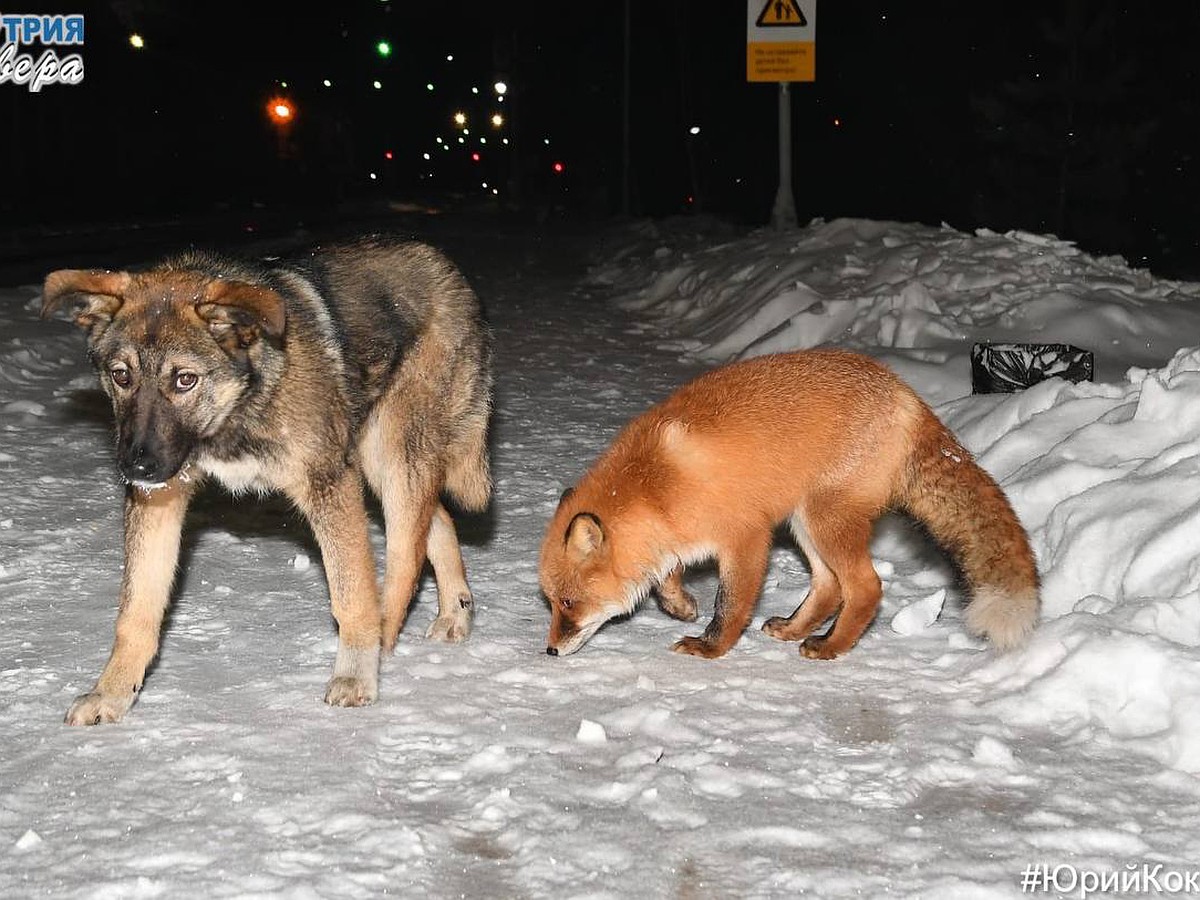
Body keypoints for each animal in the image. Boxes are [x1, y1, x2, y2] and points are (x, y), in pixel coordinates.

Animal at [42, 237, 492, 724]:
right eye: (121, 375)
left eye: (184, 380)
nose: (136, 468)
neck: (238, 408)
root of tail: (441, 263)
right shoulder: (162, 497)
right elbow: (136, 614)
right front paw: (111, 694)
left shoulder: (329, 483)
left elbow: (352, 596)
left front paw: (355, 677)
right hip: (383, 461)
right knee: (437, 519)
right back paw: (454, 613)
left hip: (391, 454)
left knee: (404, 557)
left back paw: (385, 639)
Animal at [540, 352, 1036, 662]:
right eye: (552, 603)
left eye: (568, 602)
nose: (550, 650)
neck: (655, 486)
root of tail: (907, 396)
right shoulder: (673, 536)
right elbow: (666, 577)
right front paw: (680, 606)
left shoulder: (746, 538)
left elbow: (730, 606)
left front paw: (711, 647)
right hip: (805, 523)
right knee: (829, 586)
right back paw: (796, 629)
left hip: (824, 520)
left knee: (866, 587)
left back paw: (830, 647)